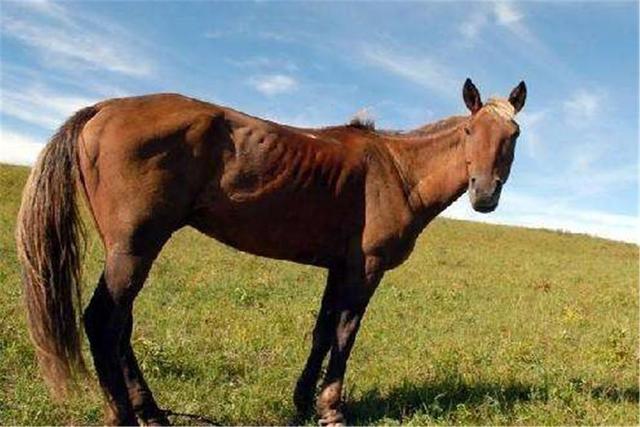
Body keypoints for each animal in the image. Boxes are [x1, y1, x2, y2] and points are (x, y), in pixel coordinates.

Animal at [16, 78, 526, 426]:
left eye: (513, 135)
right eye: (469, 131)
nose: (484, 194)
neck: (398, 170)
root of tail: (103, 108)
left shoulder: (338, 267)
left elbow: (322, 332)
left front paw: (302, 402)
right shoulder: (366, 269)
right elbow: (345, 334)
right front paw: (331, 409)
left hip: (131, 251)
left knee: (120, 326)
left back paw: (153, 412)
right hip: (134, 247)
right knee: (103, 322)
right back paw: (125, 415)